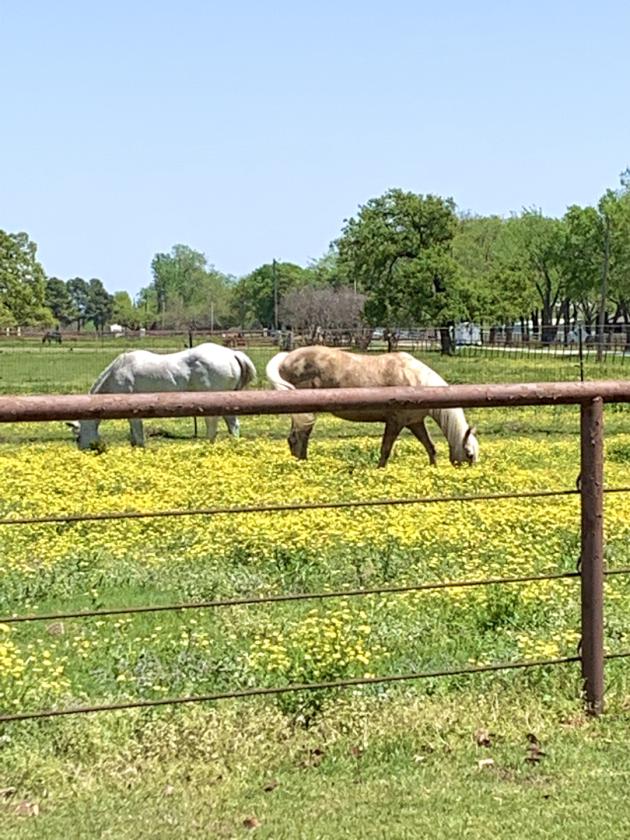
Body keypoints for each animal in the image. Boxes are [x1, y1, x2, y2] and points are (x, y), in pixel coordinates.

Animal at [68, 343, 257, 450]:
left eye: (78, 436)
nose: (84, 449)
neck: (118, 371)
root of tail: (231, 354)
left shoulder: (133, 412)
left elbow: (138, 434)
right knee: (233, 425)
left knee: (213, 424)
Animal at [265, 346, 479, 468]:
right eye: (469, 455)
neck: (416, 381)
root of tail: (287, 356)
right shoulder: (395, 422)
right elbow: (385, 450)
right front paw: (380, 471)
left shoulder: (415, 422)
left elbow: (430, 447)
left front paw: (434, 469)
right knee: (298, 438)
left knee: (298, 438)